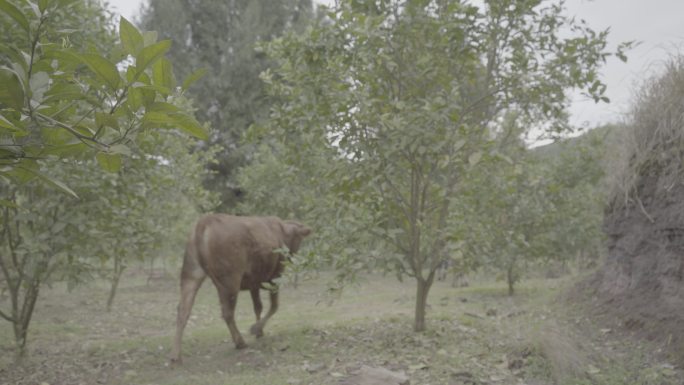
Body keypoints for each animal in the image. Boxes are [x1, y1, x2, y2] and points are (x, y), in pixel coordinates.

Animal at [170, 214, 312, 362]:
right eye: (299, 239)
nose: (292, 255)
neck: (284, 232)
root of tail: (203, 224)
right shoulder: (275, 275)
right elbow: (274, 305)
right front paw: (255, 329)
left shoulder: (254, 282)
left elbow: (258, 307)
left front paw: (260, 332)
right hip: (230, 279)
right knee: (227, 312)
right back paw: (240, 342)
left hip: (191, 273)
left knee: (183, 310)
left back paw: (175, 355)